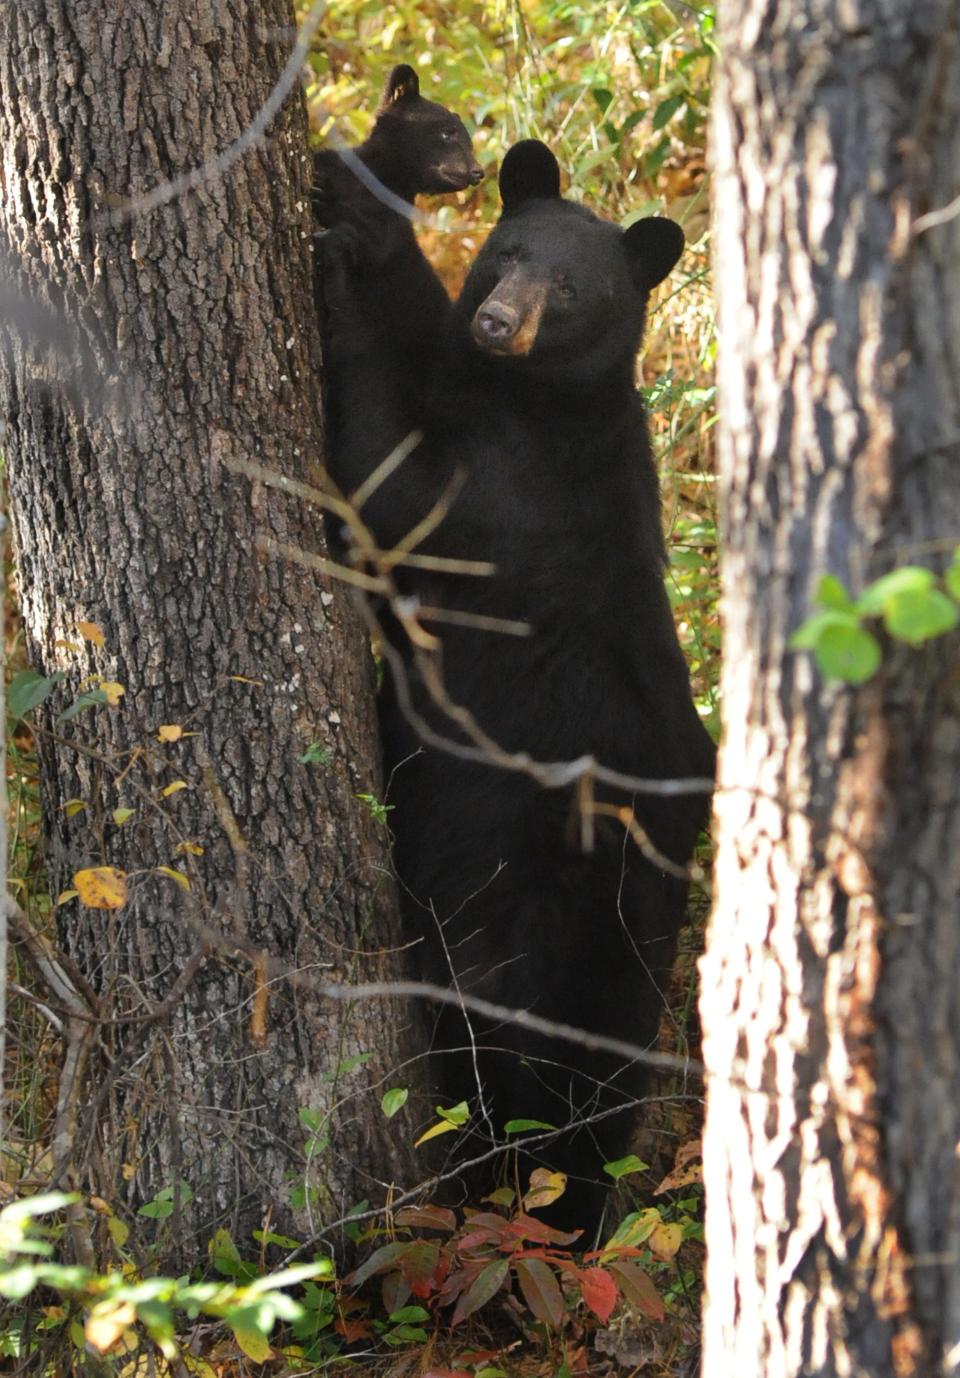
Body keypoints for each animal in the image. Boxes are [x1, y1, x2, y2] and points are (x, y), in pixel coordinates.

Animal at [352, 137, 710, 1218]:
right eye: (507, 254)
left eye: (574, 287)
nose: (499, 324)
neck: (537, 398)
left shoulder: (513, 488)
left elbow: (389, 474)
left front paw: (362, 221)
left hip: (563, 905)